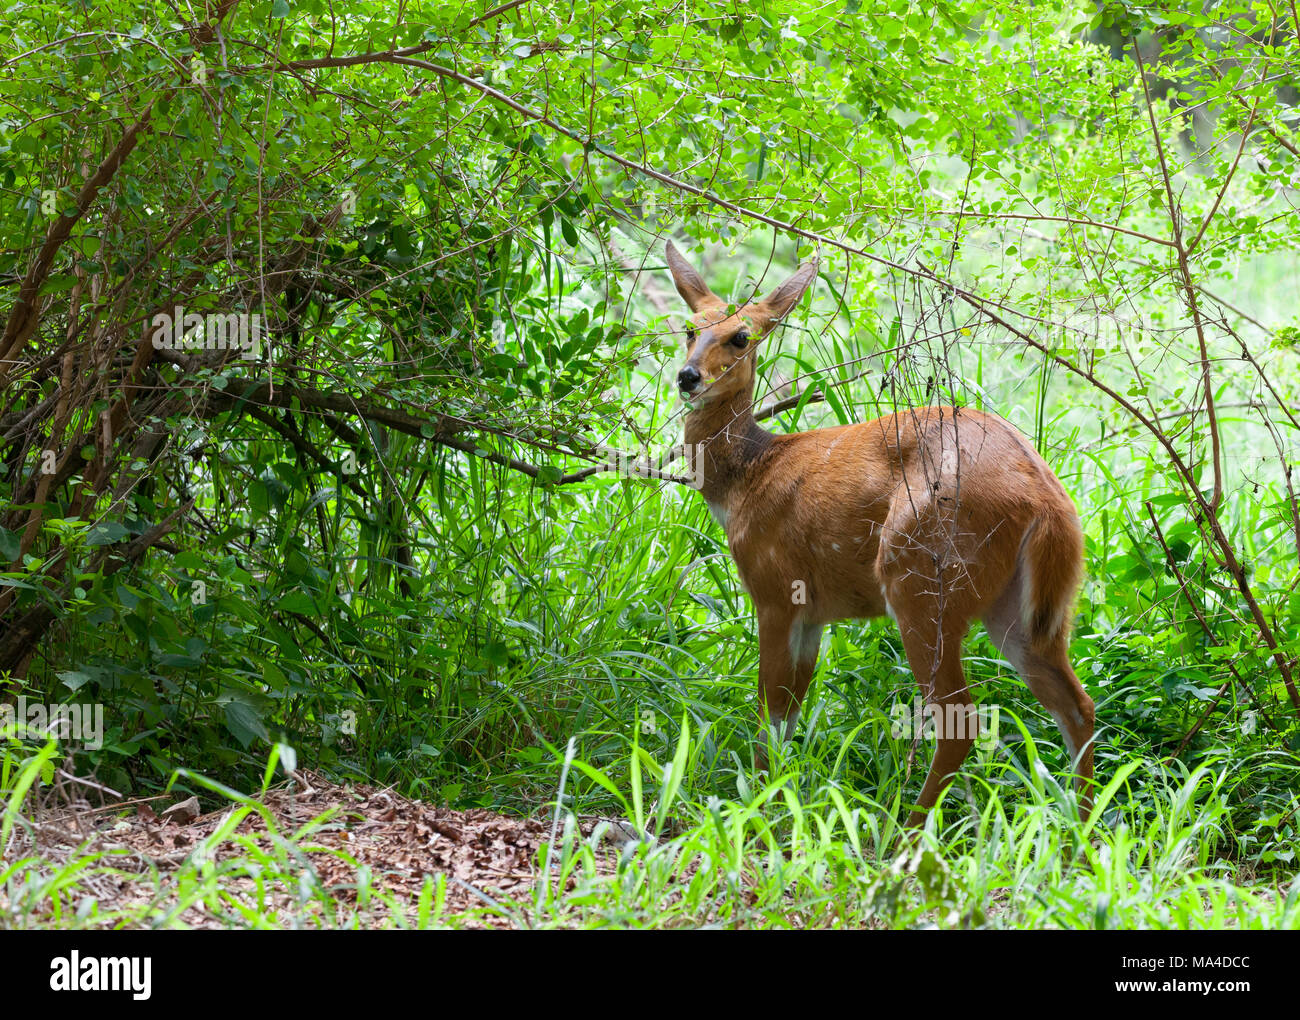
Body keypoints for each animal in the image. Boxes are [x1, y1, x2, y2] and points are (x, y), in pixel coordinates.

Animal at [665, 240, 1092, 826]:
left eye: (741, 336)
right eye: (690, 328)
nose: (688, 377)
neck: (748, 477)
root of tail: (1048, 501)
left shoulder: (775, 589)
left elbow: (769, 708)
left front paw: (757, 808)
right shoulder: (814, 613)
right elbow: (791, 710)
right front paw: (781, 799)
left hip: (919, 577)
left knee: (961, 716)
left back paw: (907, 830)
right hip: (1024, 608)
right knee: (1076, 703)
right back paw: (1082, 827)